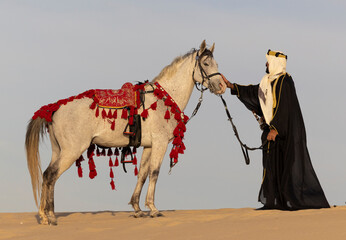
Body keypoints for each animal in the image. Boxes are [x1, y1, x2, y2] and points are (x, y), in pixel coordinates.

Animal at [26, 39, 227, 225]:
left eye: (216, 63)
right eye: (206, 63)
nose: (222, 86)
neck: (164, 100)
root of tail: (54, 108)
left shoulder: (148, 146)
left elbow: (143, 174)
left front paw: (137, 208)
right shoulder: (160, 143)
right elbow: (154, 172)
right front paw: (153, 209)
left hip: (58, 150)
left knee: (46, 175)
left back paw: (44, 215)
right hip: (71, 151)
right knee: (51, 175)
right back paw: (50, 216)